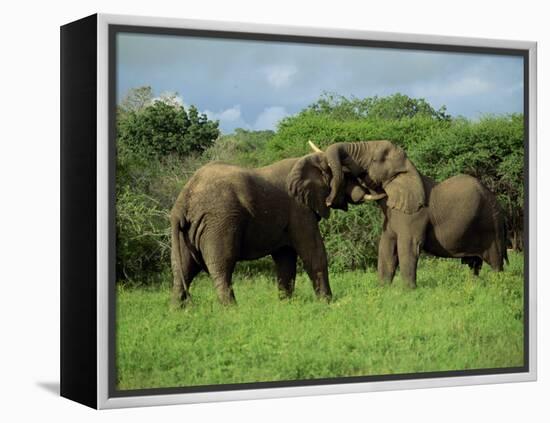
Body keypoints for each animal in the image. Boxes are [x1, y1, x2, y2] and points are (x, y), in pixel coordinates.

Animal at [169, 154, 376, 306]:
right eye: (348, 176)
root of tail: (183, 199)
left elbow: (286, 259)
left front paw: (285, 304)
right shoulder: (299, 209)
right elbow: (313, 253)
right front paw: (327, 303)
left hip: (186, 231)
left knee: (182, 269)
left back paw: (177, 311)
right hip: (219, 221)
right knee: (221, 265)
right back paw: (232, 310)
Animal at [308, 142, 512, 288]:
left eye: (374, 159)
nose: (328, 201)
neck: (407, 170)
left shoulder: (415, 214)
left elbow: (408, 246)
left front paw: (408, 292)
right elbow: (386, 247)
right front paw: (383, 290)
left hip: (491, 224)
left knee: (495, 262)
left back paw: (498, 286)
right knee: (474, 265)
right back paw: (474, 285)